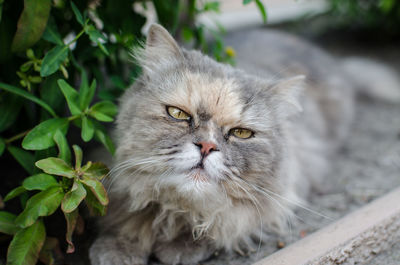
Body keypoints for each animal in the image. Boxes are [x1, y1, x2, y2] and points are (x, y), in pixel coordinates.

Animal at [89, 23, 400, 262]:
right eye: (178, 114)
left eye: (241, 133)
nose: (206, 147)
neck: (178, 212)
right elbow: (129, 217)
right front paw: (118, 249)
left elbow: (225, 221)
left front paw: (182, 247)